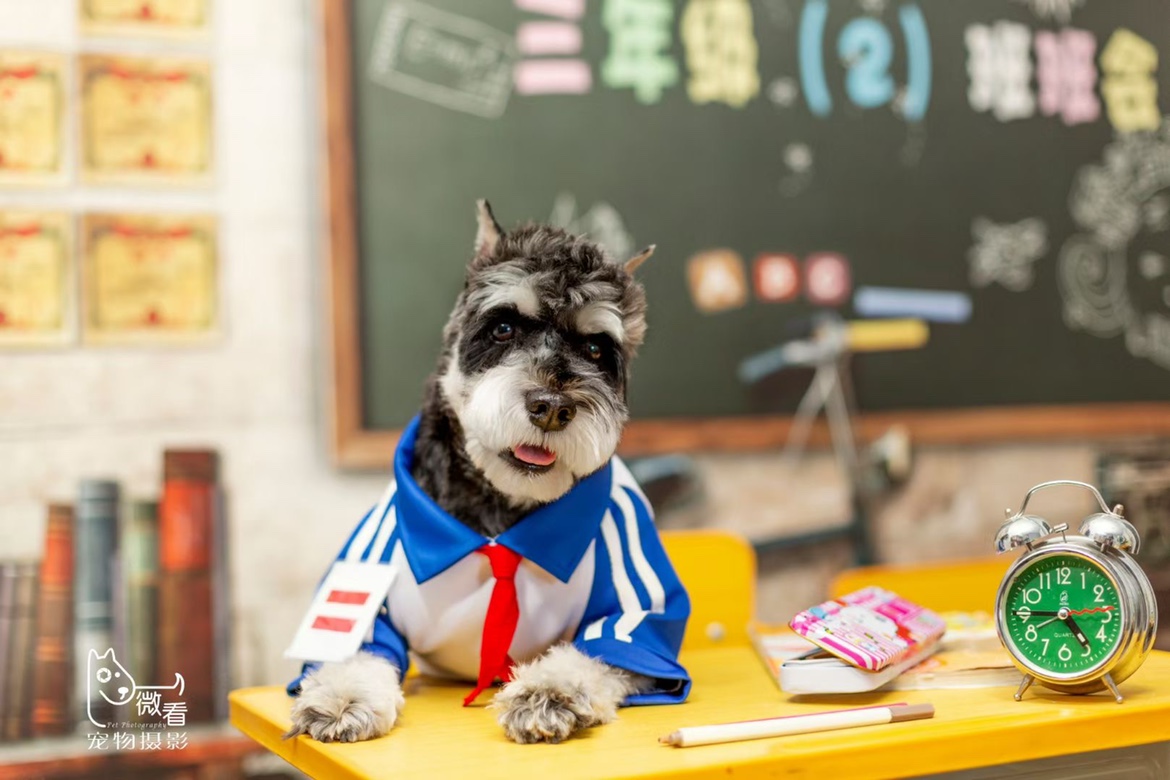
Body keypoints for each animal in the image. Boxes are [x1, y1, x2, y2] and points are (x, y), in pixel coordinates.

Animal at [286, 199, 687, 743]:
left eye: (595, 349)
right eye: (503, 328)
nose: (552, 408)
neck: (501, 508)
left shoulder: (636, 619)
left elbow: (596, 653)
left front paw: (548, 691)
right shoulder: (367, 593)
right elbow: (355, 653)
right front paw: (342, 697)